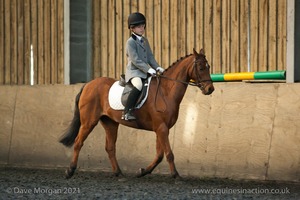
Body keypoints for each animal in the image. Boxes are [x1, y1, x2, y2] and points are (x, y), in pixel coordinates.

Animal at [59, 48, 213, 178]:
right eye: (201, 68)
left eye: (209, 67)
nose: (210, 89)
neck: (165, 91)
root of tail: (88, 84)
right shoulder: (161, 128)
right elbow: (169, 153)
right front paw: (175, 175)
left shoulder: (161, 129)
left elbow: (159, 155)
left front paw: (142, 171)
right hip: (89, 121)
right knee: (78, 142)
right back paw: (70, 171)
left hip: (110, 123)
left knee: (110, 148)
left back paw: (119, 173)